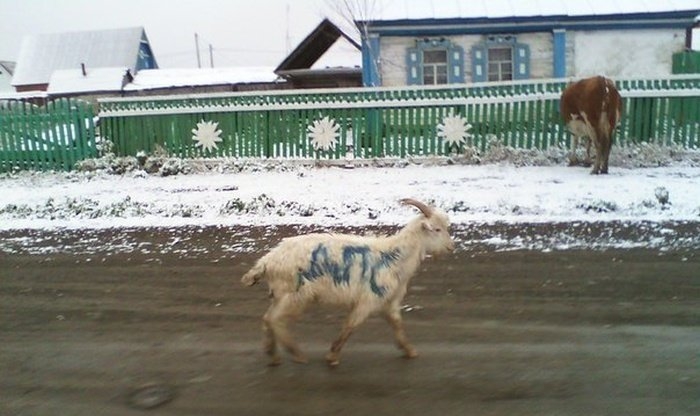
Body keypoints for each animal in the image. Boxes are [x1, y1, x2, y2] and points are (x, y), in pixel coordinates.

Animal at [241, 197, 454, 364]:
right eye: (436, 229)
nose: (451, 247)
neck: (395, 256)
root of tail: (267, 262)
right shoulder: (368, 299)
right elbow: (351, 325)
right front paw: (333, 355)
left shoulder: (390, 301)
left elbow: (397, 325)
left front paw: (410, 350)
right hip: (296, 294)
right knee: (275, 320)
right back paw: (296, 354)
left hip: (281, 294)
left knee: (268, 318)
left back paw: (272, 354)